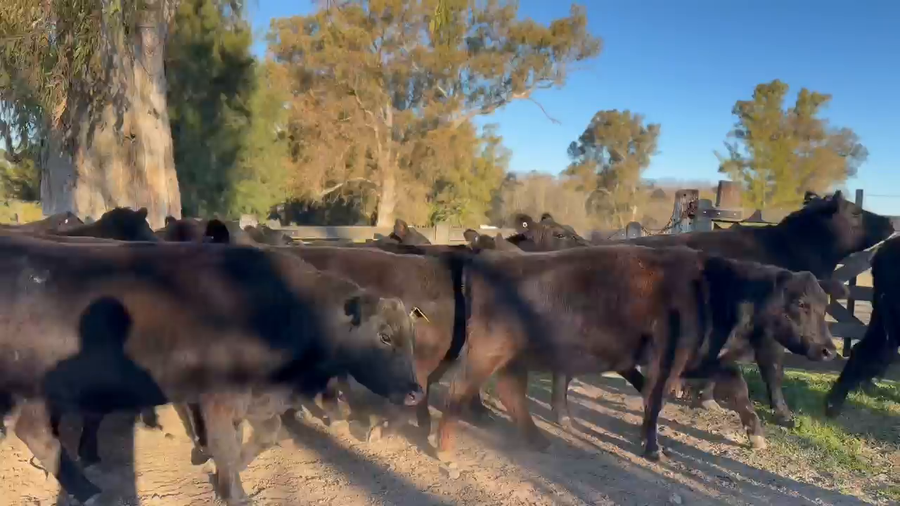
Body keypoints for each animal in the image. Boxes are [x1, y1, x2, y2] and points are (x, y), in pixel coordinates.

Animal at [0, 236, 423, 505]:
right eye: (384, 336)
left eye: (411, 334)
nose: (416, 391)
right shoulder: (220, 396)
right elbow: (226, 443)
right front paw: (234, 491)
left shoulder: (255, 398)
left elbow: (263, 435)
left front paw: (218, 470)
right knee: (36, 433)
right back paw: (88, 490)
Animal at [434, 245, 839, 464]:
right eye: (801, 304)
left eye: (824, 306)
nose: (828, 349)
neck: (714, 291)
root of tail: (487, 260)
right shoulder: (667, 360)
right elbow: (655, 400)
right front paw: (653, 448)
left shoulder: (705, 360)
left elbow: (739, 391)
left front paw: (757, 435)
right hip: (487, 350)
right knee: (458, 390)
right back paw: (444, 448)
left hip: (514, 357)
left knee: (510, 392)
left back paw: (537, 440)